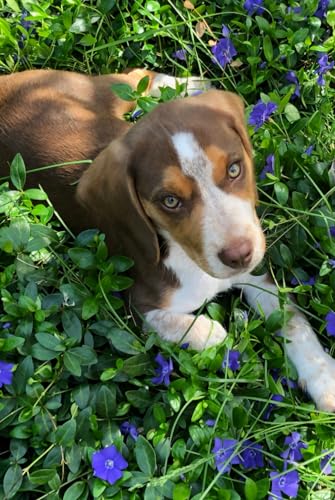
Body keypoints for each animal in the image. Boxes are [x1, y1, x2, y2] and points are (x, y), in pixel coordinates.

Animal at [0, 67, 335, 410]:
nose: (239, 255)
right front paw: (215, 333)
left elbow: (294, 321)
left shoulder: (257, 275)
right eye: (170, 201)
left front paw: (325, 381)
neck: (190, 259)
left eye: (234, 169)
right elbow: (180, 324)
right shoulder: (136, 303)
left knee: (135, 76)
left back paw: (190, 85)